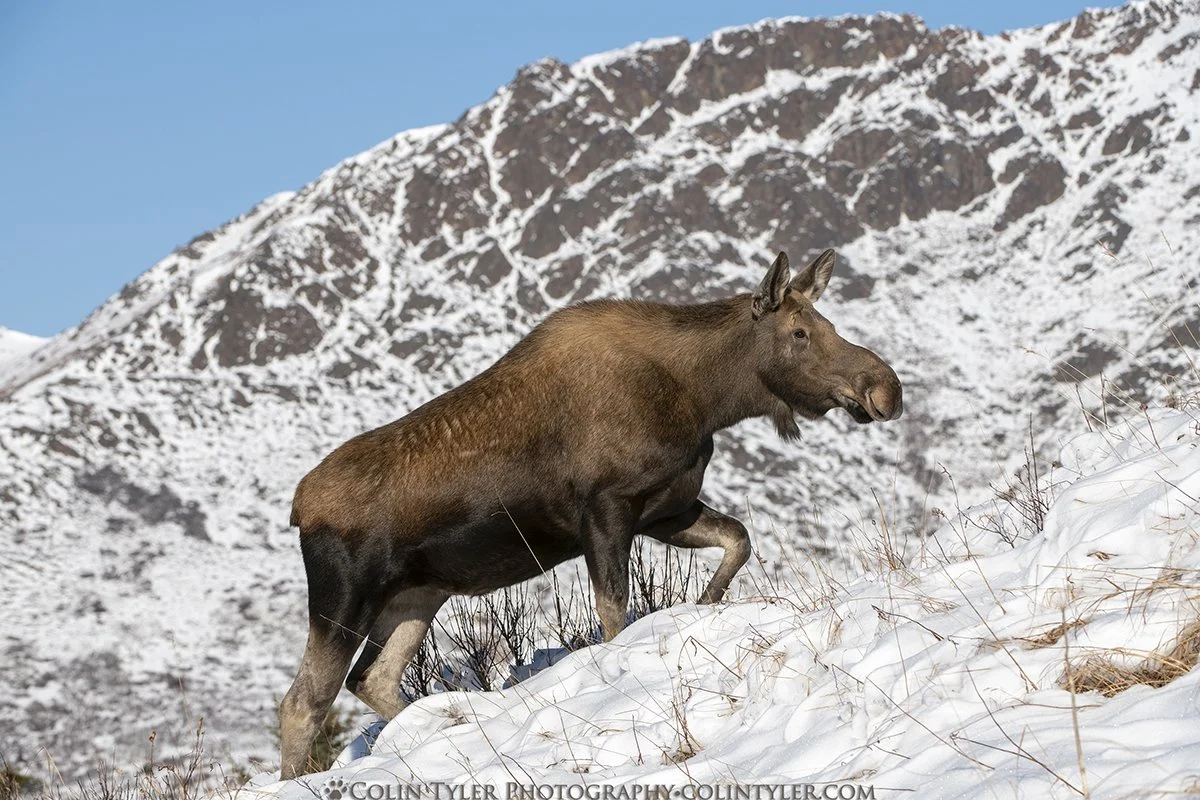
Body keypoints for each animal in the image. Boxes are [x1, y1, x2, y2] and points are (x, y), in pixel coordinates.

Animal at [278, 249, 903, 777]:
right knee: (303, 702)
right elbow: (614, 612)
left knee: (372, 678)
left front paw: (705, 604)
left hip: (417, 594)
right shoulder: (606, 509)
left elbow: (738, 540)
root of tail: (298, 507)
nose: (885, 387)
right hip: (345, 596)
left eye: (825, 323)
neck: (705, 399)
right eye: (800, 332)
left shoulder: (665, 509)